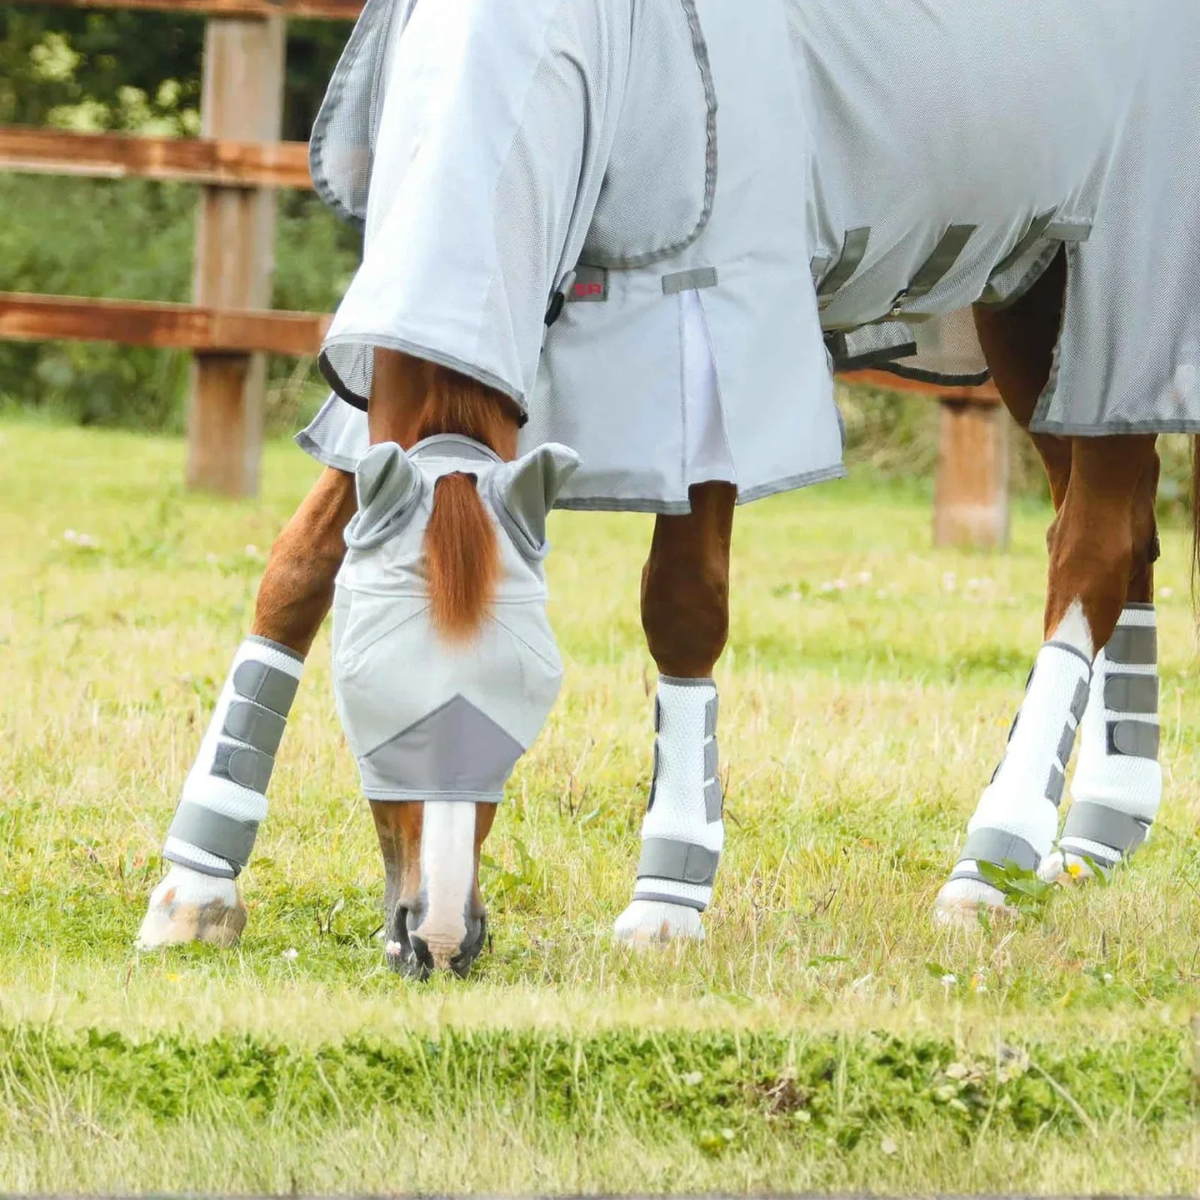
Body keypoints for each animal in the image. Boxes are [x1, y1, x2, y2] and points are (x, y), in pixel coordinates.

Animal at [138, 0, 1200, 972]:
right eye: (365, 693)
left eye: (530, 694)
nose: (436, 938)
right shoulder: (406, 380)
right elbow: (297, 573)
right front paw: (197, 885)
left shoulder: (712, 346)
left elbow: (683, 609)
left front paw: (667, 901)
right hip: (1025, 299)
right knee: (1116, 538)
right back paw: (1093, 835)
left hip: (1107, 294)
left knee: (1093, 549)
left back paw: (991, 869)